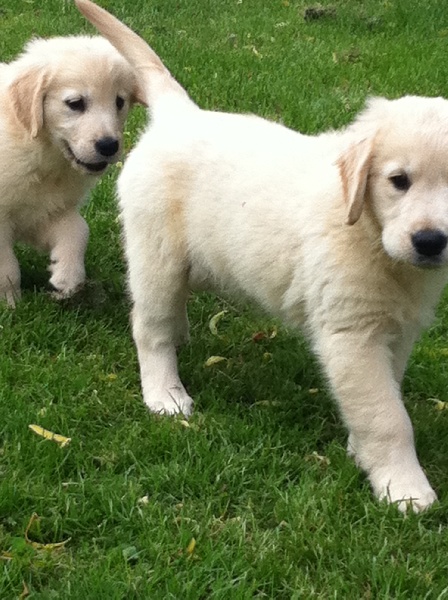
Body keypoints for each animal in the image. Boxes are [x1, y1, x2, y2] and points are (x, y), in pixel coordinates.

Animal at [0, 34, 142, 304]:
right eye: (75, 103)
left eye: (119, 102)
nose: (109, 145)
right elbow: (7, 266)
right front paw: (10, 301)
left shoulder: (46, 211)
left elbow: (78, 230)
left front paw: (67, 277)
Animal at [76, 0, 448, 510]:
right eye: (399, 181)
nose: (431, 242)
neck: (370, 234)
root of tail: (181, 116)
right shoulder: (353, 334)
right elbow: (388, 416)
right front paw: (405, 488)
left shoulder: (398, 329)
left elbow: (384, 394)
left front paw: (363, 453)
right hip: (156, 255)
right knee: (148, 327)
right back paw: (165, 394)